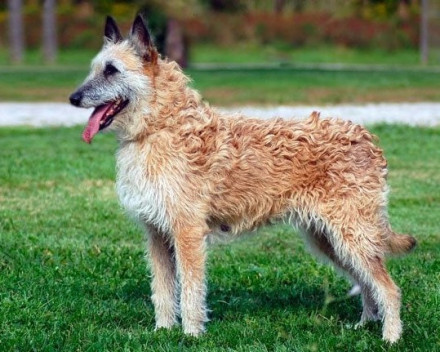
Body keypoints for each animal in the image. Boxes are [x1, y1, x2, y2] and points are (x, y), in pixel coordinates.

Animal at [69, 15, 416, 342]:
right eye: (95, 68)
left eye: (111, 70)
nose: (73, 98)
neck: (160, 125)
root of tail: (367, 138)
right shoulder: (156, 234)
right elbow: (163, 291)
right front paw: (163, 331)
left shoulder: (187, 232)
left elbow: (191, 290)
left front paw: (191, 334)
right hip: (330, 239)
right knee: (367, 283)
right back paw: (365, 324)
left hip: (351, 235)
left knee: (389, 288)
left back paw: (390, 337)